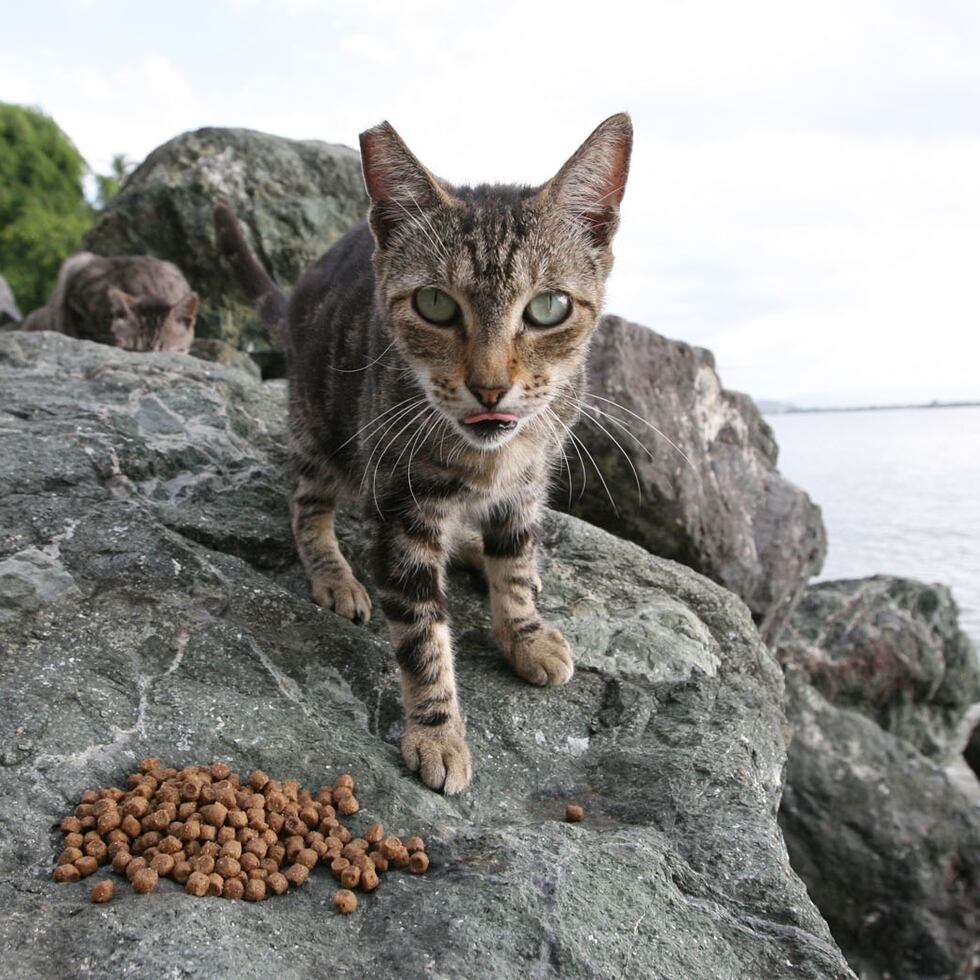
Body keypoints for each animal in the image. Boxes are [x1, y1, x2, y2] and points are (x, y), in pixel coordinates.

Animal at [214, 111, 632, 792]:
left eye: (549, 307)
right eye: (435, 304)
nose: (489, 386)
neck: (491, 456)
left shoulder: (527, 485)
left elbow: (516, 561)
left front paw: (523, 631)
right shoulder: (399, 508)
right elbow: (421, 631)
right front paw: (438, 733)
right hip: (320, 429)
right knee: (306, 507)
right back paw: (336, 575)